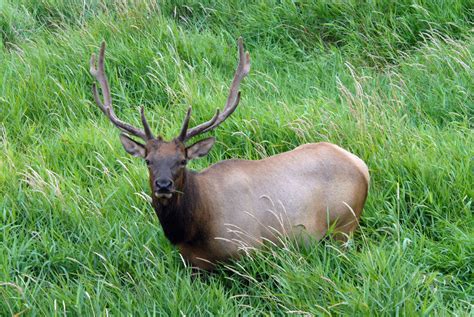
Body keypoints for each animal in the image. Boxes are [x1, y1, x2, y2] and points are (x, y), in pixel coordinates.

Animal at [89, 37, 370, 270]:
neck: (193, 230)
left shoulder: (249, 249)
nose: (163, 184)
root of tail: (362, 166)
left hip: (344, 226)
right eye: (148, 161)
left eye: (182, 160)